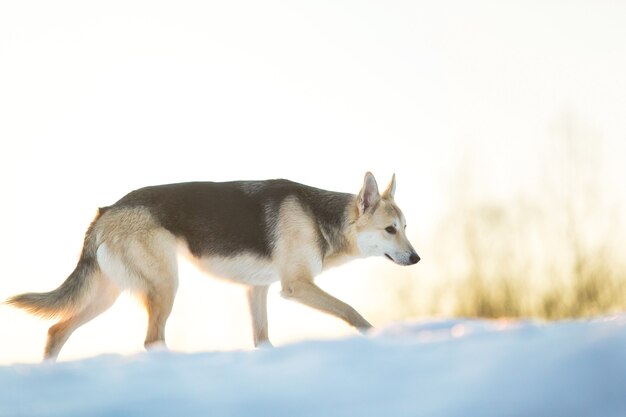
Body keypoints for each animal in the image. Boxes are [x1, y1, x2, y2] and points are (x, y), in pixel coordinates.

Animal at [6, 171, 420, 360]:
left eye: (405, 228)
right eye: (390, 229)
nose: (416, 258)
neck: (320, 218)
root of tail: (106, 211)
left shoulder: (258, 290)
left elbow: (262, 339)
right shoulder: (297, 286)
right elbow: (351, 311)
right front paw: (380, 338)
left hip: (107, 295)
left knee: (56, 332)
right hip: (165, 287)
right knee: (151, 339)